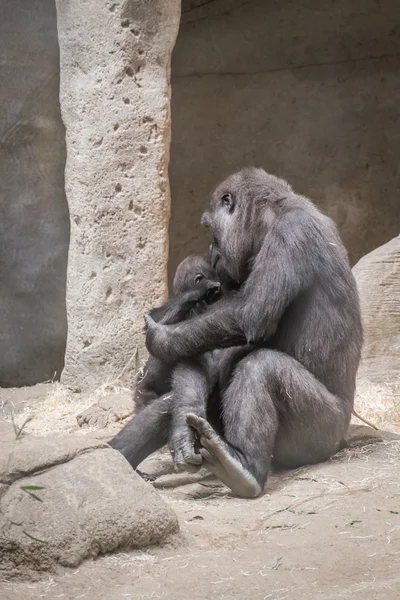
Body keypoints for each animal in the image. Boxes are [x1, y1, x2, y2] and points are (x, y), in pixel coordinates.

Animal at [111, 168, 362, 496]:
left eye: (210, 227)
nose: (211, 249)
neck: (270, 218)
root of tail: (343, 439)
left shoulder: (291, 233)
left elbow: (250, 316)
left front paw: (161, 339)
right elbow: (199, 353)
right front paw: (181, 429)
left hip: (325, 435)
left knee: (261, 367)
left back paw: (244, 469)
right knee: (170, 401)